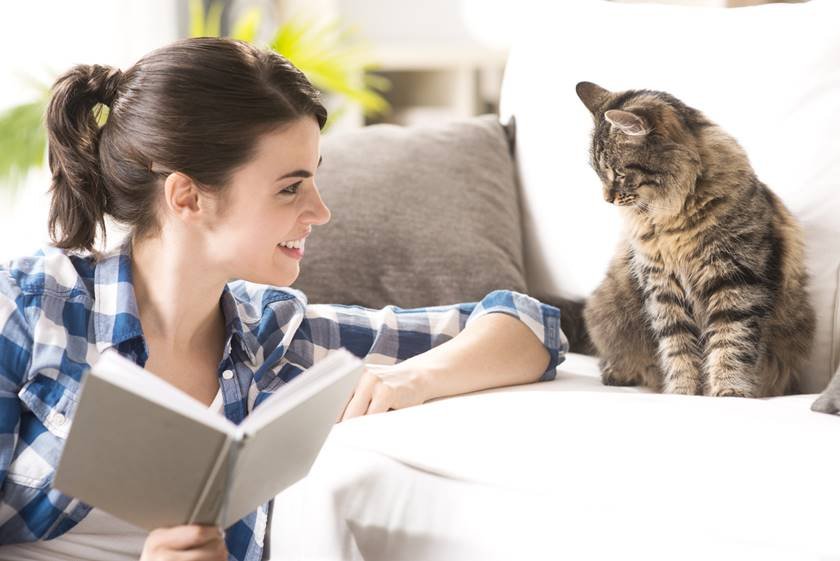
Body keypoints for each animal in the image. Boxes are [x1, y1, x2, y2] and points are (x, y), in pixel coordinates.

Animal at [576, 82, 812, 398]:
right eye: (599, 173)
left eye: (619, 173)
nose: (607, 199)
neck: (672, 220)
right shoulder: (662, 286)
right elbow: (678, 347)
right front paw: (682, 392)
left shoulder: (735, 280)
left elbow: (730, 343)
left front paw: (728, 391)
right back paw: (616, 373)